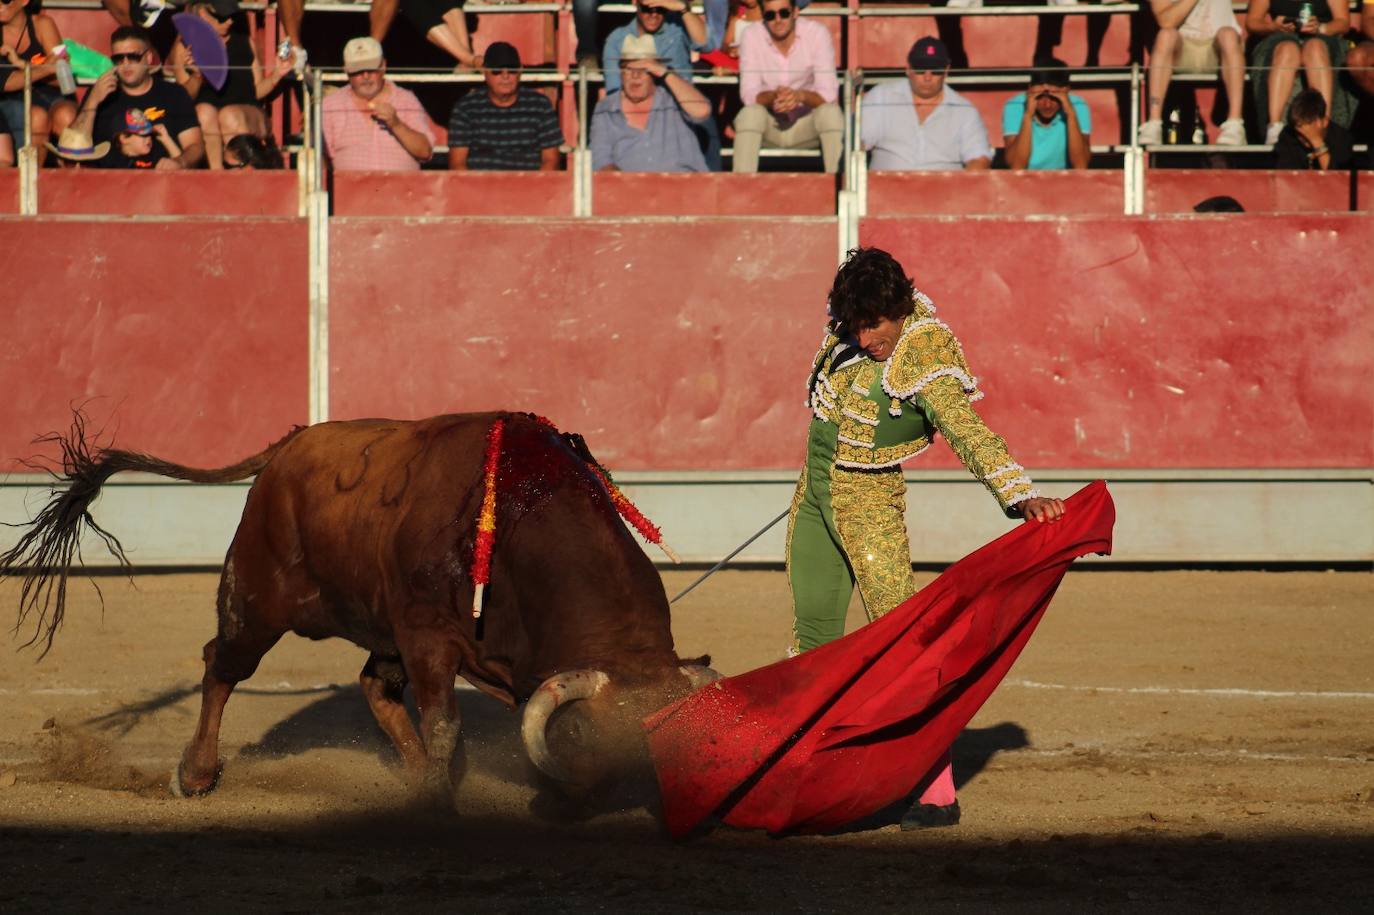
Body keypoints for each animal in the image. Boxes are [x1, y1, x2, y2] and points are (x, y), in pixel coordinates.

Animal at [0, 409, 714, 796]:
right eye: (598, 735)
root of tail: (291, 443)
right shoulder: (427, 637)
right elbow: (445, 723)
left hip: (373, 622)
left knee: (373, 685)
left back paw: (417, 781)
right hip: (253, 597)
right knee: (221, 665)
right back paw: (196, 775)